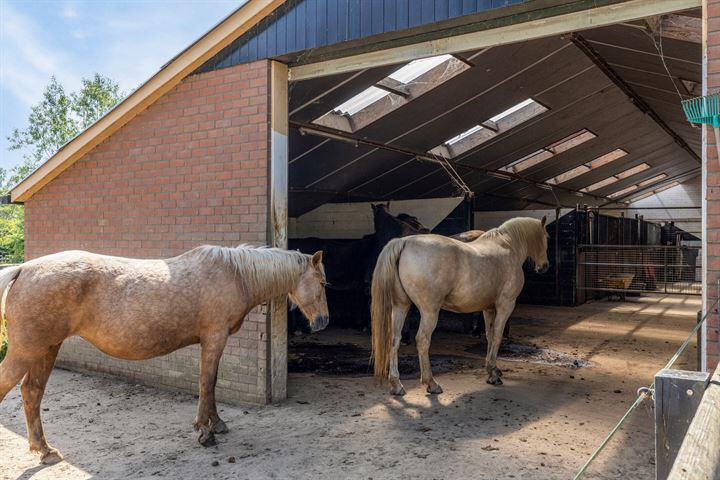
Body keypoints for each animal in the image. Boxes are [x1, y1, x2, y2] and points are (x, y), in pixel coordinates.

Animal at [0, 246, 330, 464]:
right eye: (323, 283)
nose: (323, 322)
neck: (234, 275)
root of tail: (22, 269)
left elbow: (211, 384)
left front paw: (217, 424)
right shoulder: (214, 339)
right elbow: (206, 383)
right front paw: (205, 432)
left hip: (47, 348)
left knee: (32, 392)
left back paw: (44, 450)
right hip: (28, 350)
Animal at [374, 217, 548, 394]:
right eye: (545, 237)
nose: (544, 266)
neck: (508, 245)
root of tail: (404, 242)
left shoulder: (488, 308)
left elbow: (490, 335)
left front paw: (491, 369)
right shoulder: (505, 305)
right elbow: (498, 336)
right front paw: (493, 374)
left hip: (400, 307)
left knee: (395, 340)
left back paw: (396, 385)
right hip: (429, 312)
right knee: (422, 340)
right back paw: (431, 383)